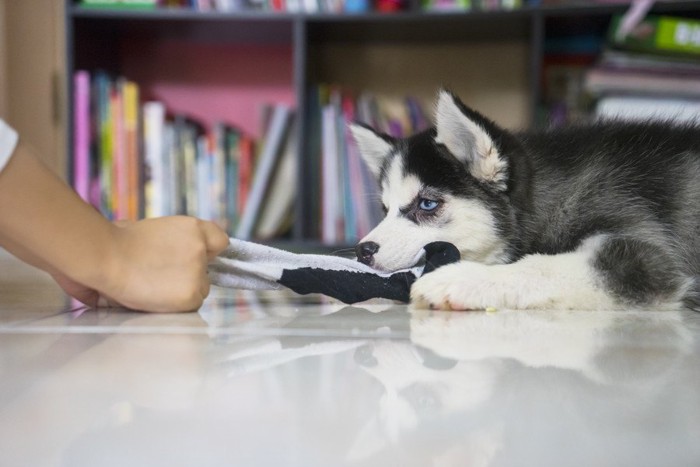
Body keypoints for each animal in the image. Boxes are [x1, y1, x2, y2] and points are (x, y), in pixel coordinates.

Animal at [352, 90, 696, 310]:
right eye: (385, 209)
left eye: (427, 204)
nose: (362, 251)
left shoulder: (644, 255)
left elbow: (540, 266)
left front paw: (462, 279)